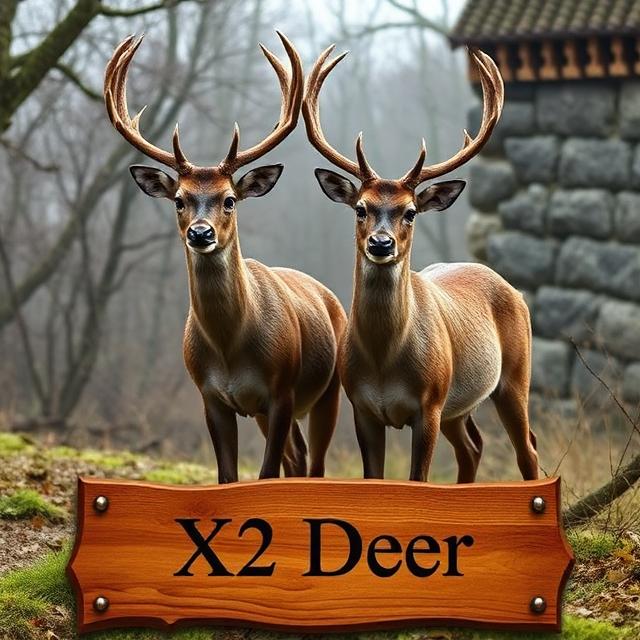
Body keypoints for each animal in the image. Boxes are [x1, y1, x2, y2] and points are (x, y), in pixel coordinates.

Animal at [104, 33, 346, 483]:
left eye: (229, 199)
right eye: (179, 200)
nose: (201, 233)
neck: (231, 346)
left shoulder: (281, 391)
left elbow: (266, 475)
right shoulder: (211, 397)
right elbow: (228, 477)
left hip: (329, 391)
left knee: (314, 462)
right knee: (297, 457)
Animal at [302, 46, 538, 484]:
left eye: (410, 212)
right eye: (360, 208)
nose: (381, 243)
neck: (384, 360)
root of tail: (512, 290)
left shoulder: (428, 404)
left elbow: (419, 479)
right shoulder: (362, 408)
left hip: (514, 377)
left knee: (527, 449)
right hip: (458, 406)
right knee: (472, 447)